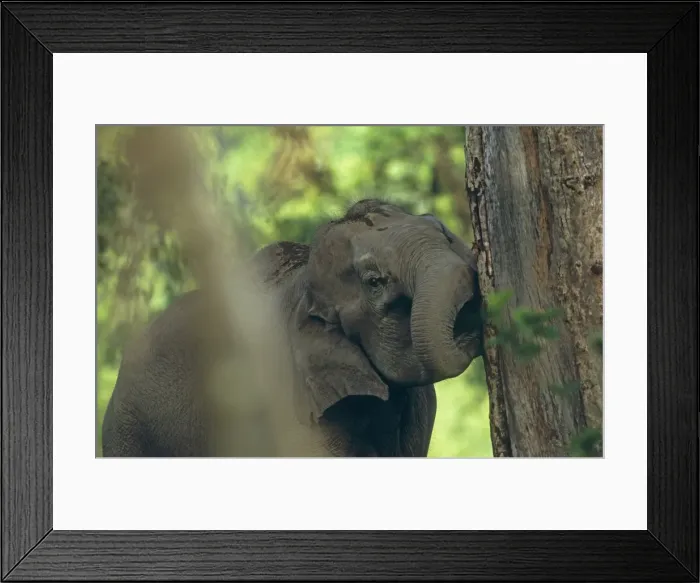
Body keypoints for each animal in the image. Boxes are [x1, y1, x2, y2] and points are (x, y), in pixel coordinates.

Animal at [101, 199, 483, 457]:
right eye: (374, 282)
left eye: (444, 233)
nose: (468, 325)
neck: (302, 284)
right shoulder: (289, 401)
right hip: (128, 432)